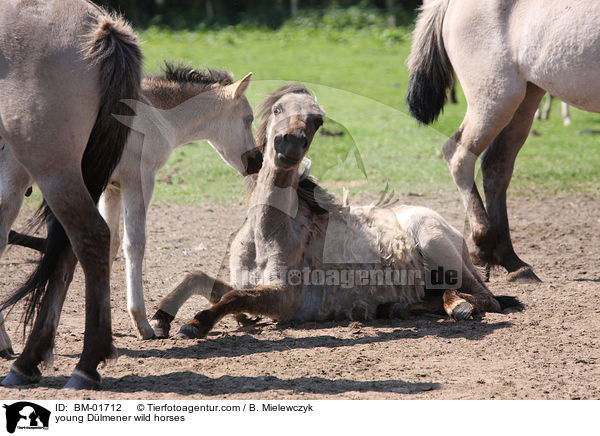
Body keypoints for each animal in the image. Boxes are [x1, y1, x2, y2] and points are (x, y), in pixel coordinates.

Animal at [0, 0, 142, 388]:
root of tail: (101, 25)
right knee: (65, 248)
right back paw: (27, 361)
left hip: (53, 170)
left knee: (88, 237)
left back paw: (86, 364)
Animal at [408, 0, 600, 282]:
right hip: (495, 98)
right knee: (459, 154)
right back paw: (483, 244)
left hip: (526, 97)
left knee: (496, 166)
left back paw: (511, 261)